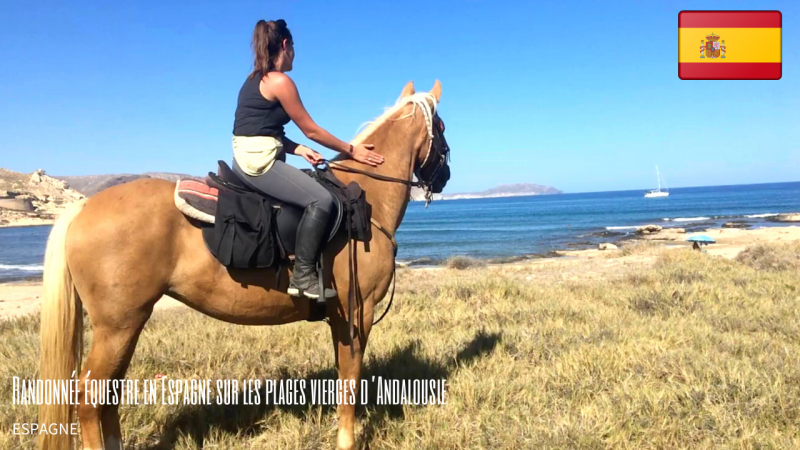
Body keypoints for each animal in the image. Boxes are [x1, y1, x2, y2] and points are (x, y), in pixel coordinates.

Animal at [37, 81, 450, 450]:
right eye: (442, 129)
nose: (445, 177)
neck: (364, 200)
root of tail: (83, 207)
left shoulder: (341, 317)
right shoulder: (356, 312)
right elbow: (350, 379)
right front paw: (347, 440)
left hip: (126, 326)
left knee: (108, 395)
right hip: (118, 326)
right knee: (88, 398)